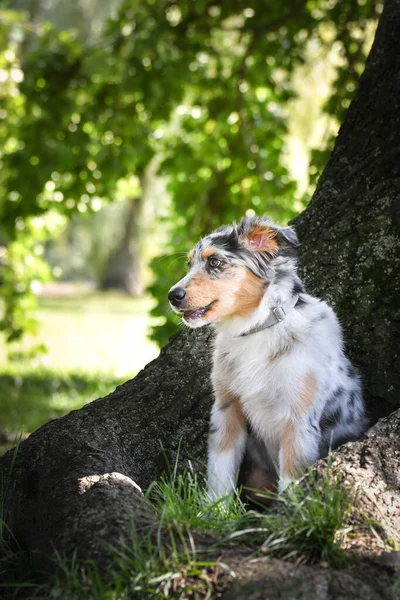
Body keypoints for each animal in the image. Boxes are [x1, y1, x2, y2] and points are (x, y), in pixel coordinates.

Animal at [167, 216, 368, 496]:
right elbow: (220, 471)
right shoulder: (227, 408)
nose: (172, 296)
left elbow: (291, 482)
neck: (256, 329)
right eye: (189, 264)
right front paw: (215, 507)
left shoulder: (299, 419)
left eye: (214, 262)